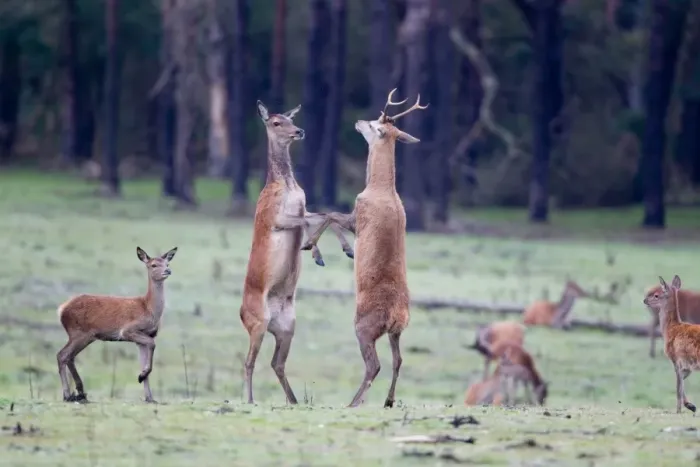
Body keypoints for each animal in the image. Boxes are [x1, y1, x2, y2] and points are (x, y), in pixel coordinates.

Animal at [56, 246, 177, 403]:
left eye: (167, 263)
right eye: (153, 265)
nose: (168, 271)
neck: (148, 308)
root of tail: (62, 309)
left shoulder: (144, 337)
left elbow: (144, 361)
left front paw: (149, 396)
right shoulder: (128, 331)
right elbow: (152, 345)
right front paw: (142, 377)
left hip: (82, 335)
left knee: (69, 356)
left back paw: (78, 393)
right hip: (79, 333)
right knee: (62, 355)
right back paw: (68, 395)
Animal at [239, 100, 354, 405]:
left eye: (290, 118)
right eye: (276, 122)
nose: (299, 131)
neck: (286, 187)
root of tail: (242, 314)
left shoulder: (304, 206)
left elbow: (327, 213)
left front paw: (341, 249)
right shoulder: (275, 217)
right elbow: (317, 218)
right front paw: (314, 250)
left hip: (288, 326)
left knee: (276, 363)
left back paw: (294, 401)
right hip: (257, 323)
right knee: (249, 361)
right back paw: (250, 400)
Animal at [298, 89, 428, 407]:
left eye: (372, 125)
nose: (357, 121)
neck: (379, 188)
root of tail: (397, 314)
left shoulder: (359, 215)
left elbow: (329, 213)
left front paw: (316, 248)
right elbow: (327, 214)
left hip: (364, 326)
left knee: (374, 365)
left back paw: (353, 402)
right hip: (397, 332)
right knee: (398, 361)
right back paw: (389, 401)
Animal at [643, 275, 700, 413]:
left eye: (656, 295)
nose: (645, 300)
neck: (671, 328)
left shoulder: (675, 359)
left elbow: (678, 385)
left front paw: (680, 409)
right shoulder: (686, 365)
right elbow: (681, 382)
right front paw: (690, 406)